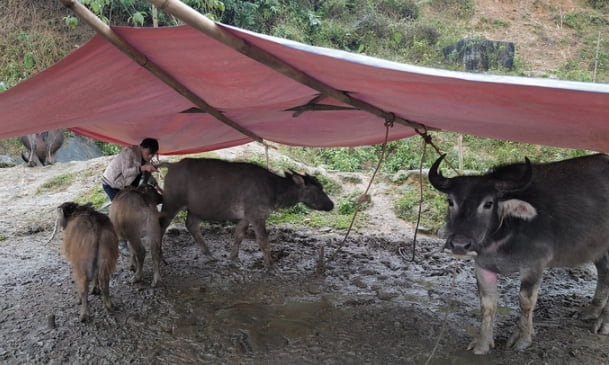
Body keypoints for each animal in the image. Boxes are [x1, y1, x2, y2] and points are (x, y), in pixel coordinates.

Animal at [428, 153, 609, 352]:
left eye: (488, 204)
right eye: (451, 201)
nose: (459, 245)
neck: (504, 233)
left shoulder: (535, 264)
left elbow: (525, 300)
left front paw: (523, 338)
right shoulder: (482, 266)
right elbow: (487, 302)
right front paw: (483, 342)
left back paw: (603, 323)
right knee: (605, 272)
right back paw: (592, 310)